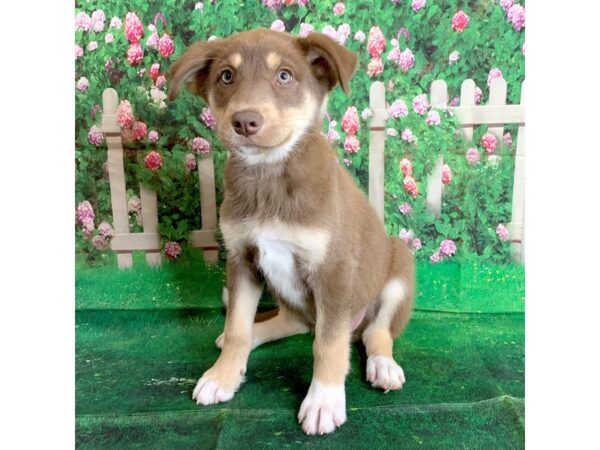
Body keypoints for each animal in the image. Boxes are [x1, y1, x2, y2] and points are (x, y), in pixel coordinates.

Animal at [168, 29, 412, 436]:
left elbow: (328, 345)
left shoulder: (333, 271)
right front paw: (222, 376)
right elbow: (237, 326)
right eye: (226, 76)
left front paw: (323, 401)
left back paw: (383, 365)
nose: (245, 121)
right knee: (291, 322)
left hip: (399, 267)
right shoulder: (242, 260)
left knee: (374, 332)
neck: (269, 176)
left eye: (284, 76)